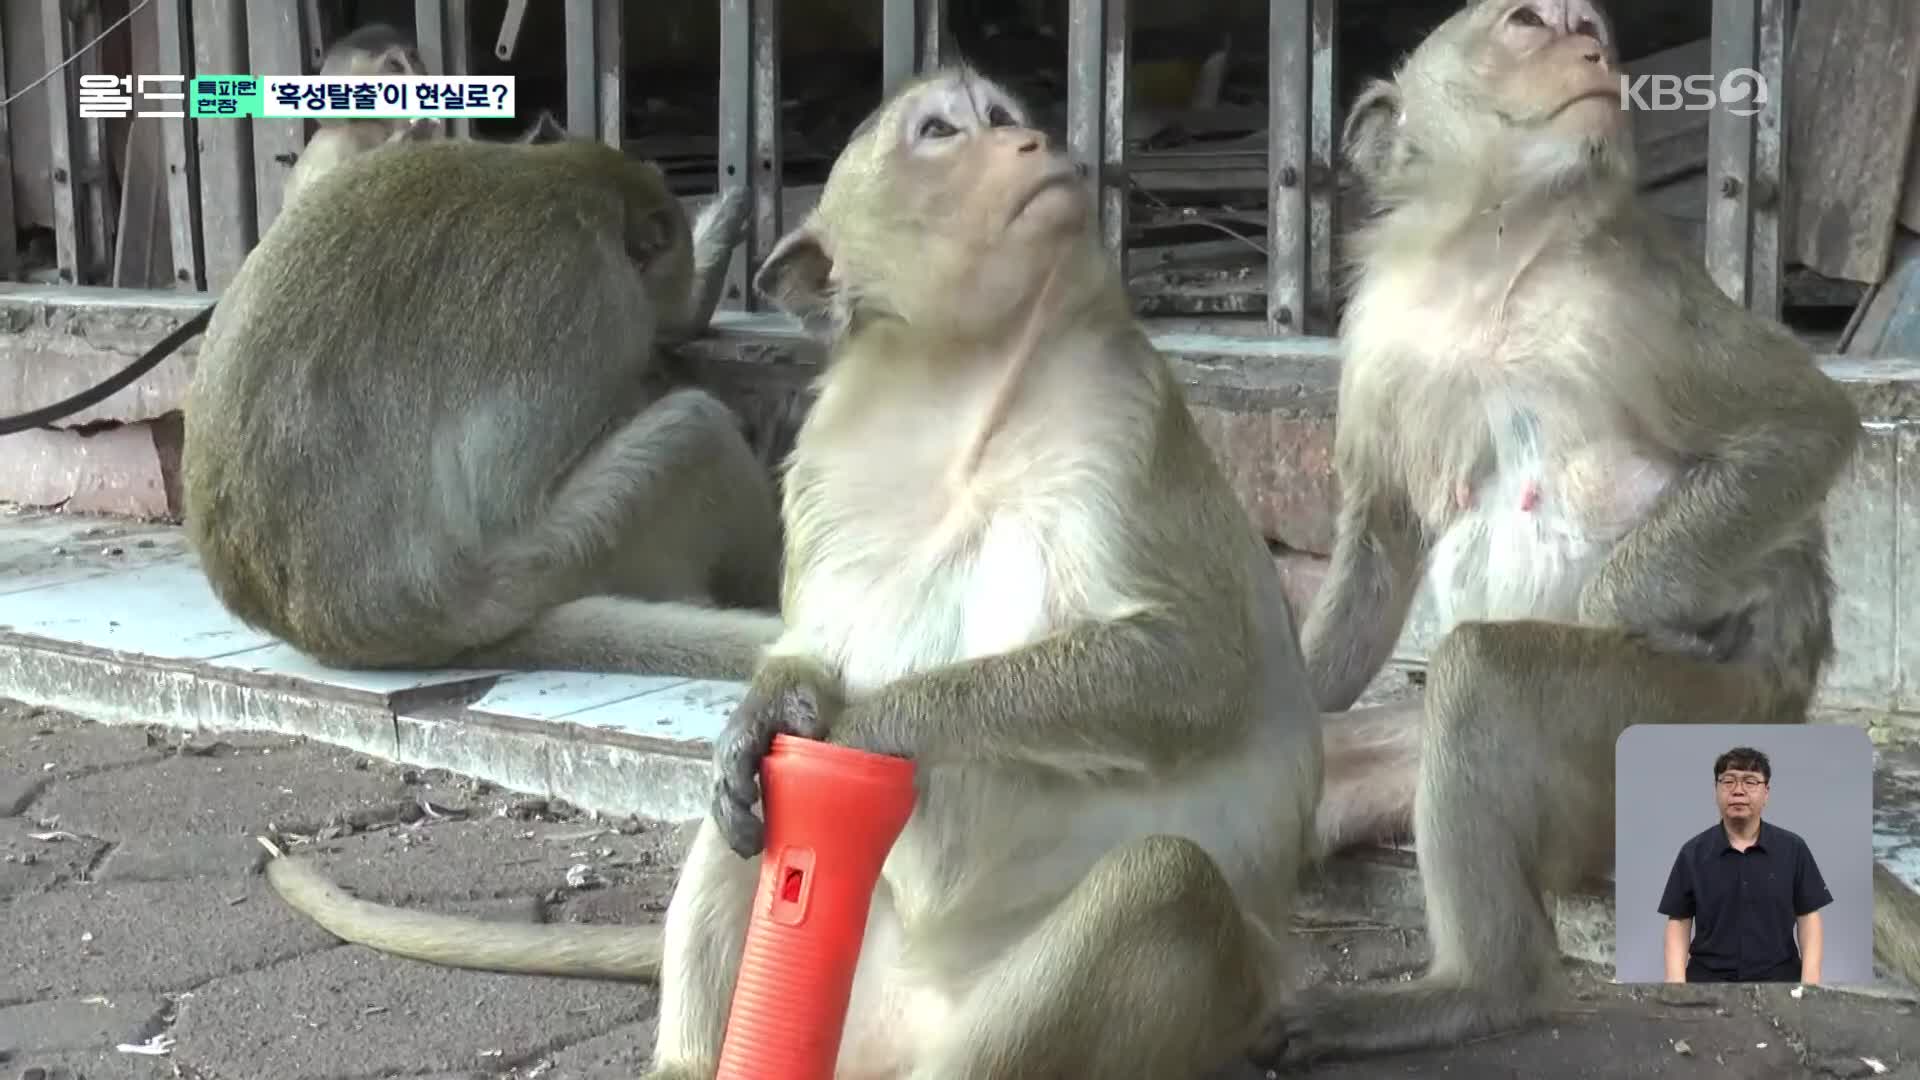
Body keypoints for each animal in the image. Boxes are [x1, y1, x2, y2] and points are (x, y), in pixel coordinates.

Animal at [255, 65, 1328, 1076]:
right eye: (943, 131)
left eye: (1000, 115)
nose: (1031, 143)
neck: (967, 380)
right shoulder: (826, 461)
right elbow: (808, 662)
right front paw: (771, 710)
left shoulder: (1123, 420)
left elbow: (1190, 666)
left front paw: (876, 724)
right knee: (745, 823)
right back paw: (694, 1047)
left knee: (1164, 884)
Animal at [1251, 0, 1920, 1060]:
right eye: (1531, 23)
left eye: (1587, 23)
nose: (1594, 49)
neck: (1490, 254)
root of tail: (1786, 714)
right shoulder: (1380, 331)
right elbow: (1381, 538)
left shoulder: (1635, 295)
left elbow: (1803, 429)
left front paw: (1633, 608)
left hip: (1674, 726)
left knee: (1482, 672)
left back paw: (1480, 991)